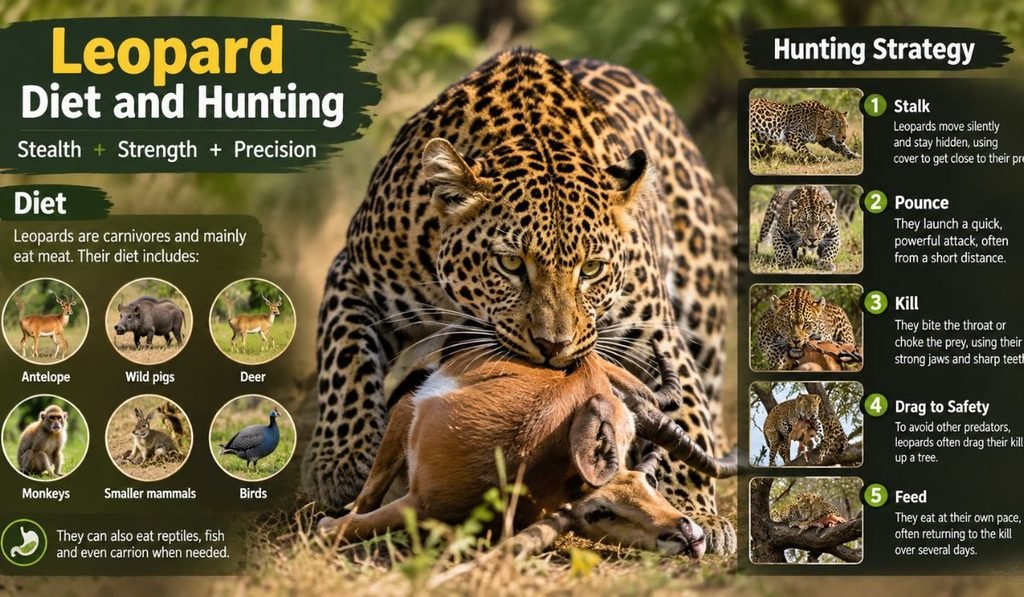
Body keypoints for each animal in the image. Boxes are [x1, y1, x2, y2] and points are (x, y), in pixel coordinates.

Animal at [306, 49, 736, 554]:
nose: (553, 347)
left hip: (701, 303)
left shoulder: (656, 335)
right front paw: (340, 462)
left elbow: (686, 412)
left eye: (591, 269)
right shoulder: (354, 275)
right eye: (511, 263)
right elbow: (345, 361)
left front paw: (697, 509)